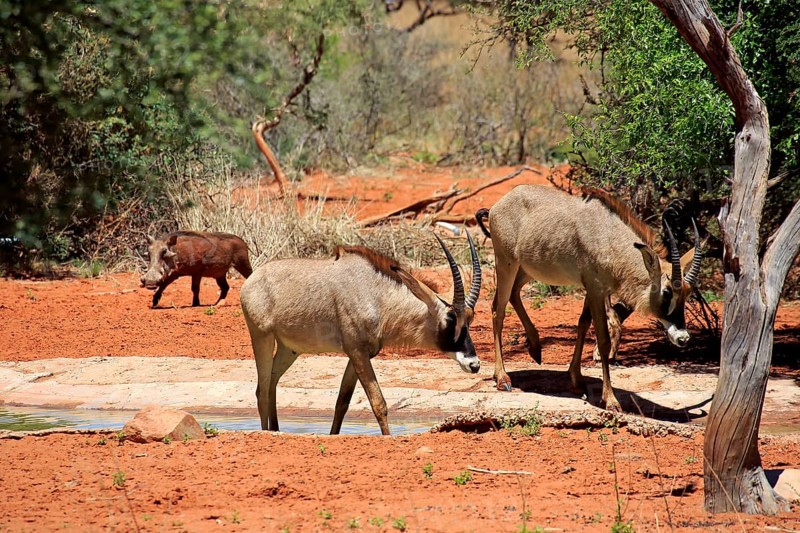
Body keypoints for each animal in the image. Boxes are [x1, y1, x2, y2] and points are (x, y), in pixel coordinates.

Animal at [239, 233, 482, 435]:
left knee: (271, 383)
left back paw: (275, 429)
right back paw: (266, 433)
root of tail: (251, 281)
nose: (474, 364)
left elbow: (342, 402)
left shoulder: (361, 354)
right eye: (450, 320)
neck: (377, 295)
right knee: (262, 390)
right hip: (262, 337)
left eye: (470, 320)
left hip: (288, 350)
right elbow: (378, 403)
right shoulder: (356, 351)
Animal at [476, 185, 701, 411]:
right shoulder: (596, 289)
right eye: (667, 292)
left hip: (527, 269)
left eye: (688, 293)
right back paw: (502, 377)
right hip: (506, 263)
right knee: (498, 310)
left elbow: (583, 324)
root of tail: (497, 206)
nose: (683, 338)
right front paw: (610, 400)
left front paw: (576, 380)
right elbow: (603, 340)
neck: (608, 235)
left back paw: (535, 348)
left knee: (513, 294)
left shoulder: (592, 289)